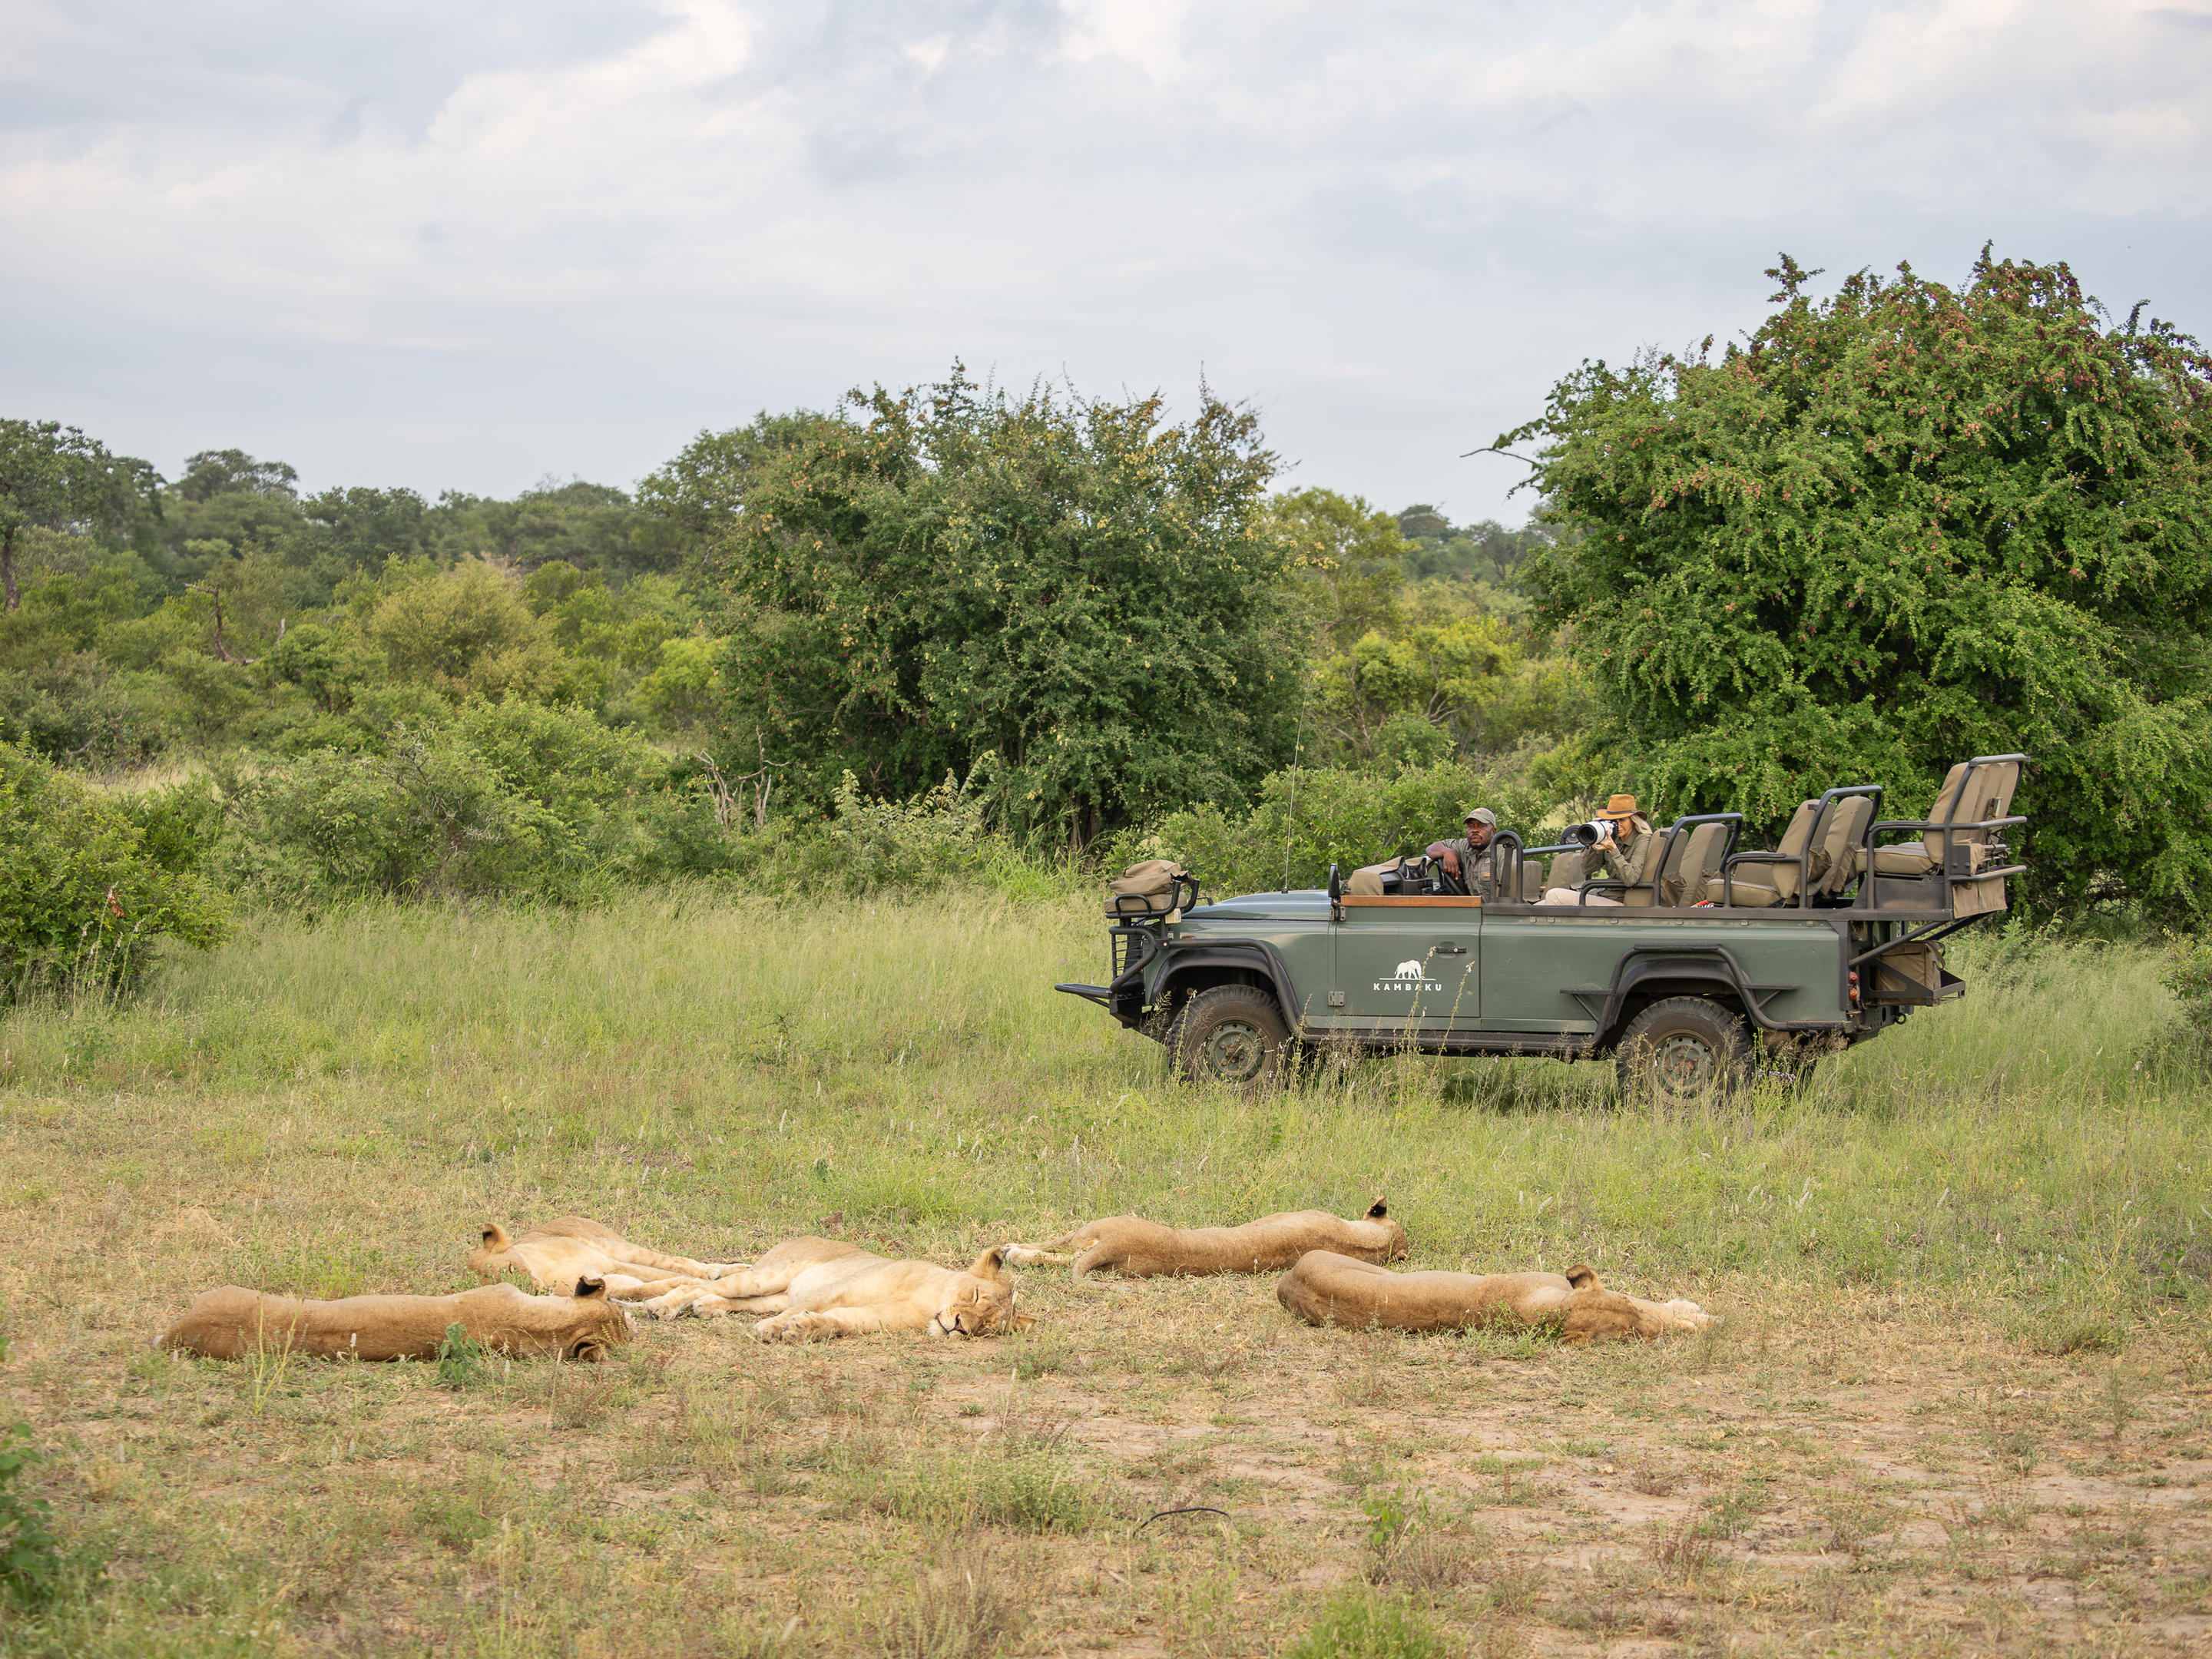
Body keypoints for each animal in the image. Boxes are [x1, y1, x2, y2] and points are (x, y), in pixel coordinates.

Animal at [470, 1216, 744, 1299]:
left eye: (510, 1269)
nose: (535, 1291)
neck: (542, 1270)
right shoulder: (600, 1279)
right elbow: (644, 1287)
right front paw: (684, 1286)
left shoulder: (610, 1263)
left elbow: (660, 1270)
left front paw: (702, 1280)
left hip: (615, 1247)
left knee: (674, 1260)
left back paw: (724, 1270)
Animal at [639, 1237, 1035, 1342]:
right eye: (975, 1296)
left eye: (986, 1328)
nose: (960, 1327)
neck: (931, 1301)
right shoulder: (839, 1288)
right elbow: (806, 1309)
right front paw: (773, 1330)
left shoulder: (876, 1316)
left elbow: (842, 1321)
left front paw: (805, 1328)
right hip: (770, 1275)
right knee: (700, 1283)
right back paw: (662, 1307)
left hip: (772, 1294)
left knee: (733, 1298)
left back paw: (709, 1307)